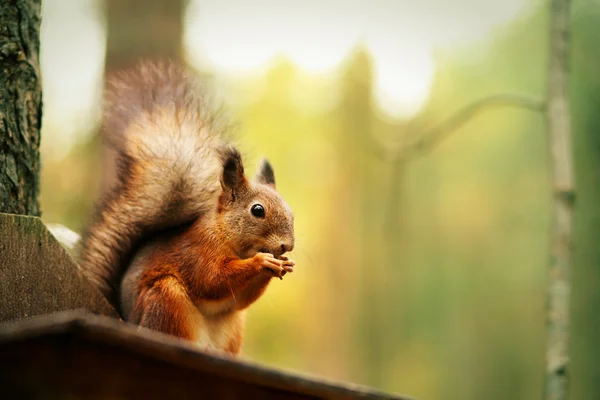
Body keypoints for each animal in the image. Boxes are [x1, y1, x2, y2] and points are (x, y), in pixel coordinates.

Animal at [79, 61, 296, 354]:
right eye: (258, 210)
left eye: (291, 212)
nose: (287, 245)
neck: (228, 237)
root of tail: (130, 322)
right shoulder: (197, 252)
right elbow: (213, 280)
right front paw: (262, 261)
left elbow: (240, 300)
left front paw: (282, 264)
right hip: (166, 298)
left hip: (232, 328)